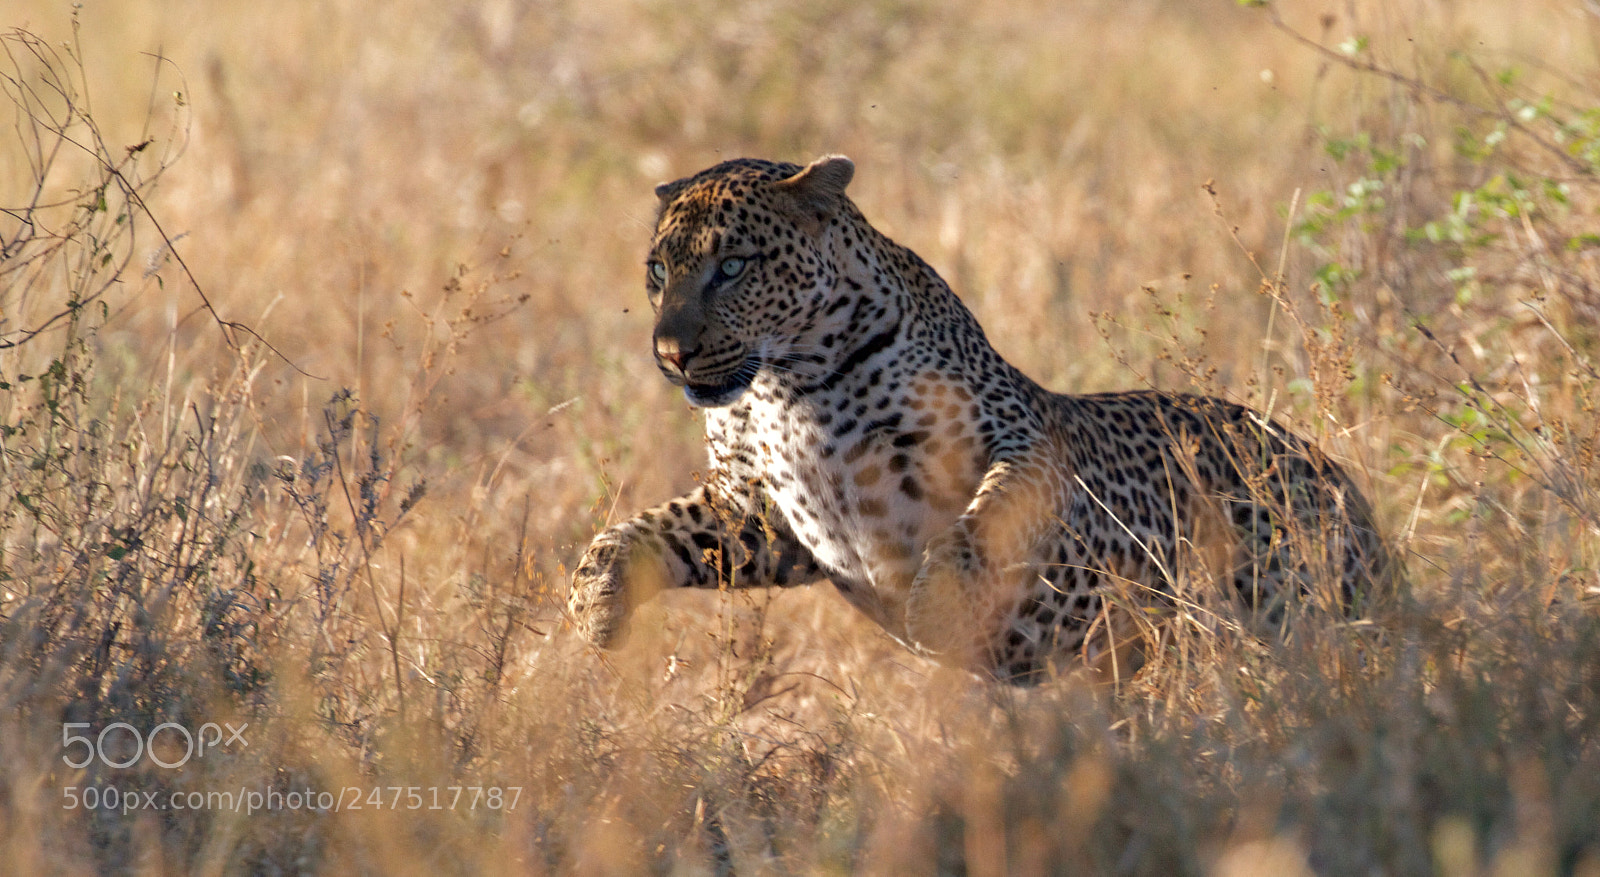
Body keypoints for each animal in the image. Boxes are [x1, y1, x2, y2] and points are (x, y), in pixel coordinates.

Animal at [567, 154, 1391, 683]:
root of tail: (1345, 487)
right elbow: (627, 535)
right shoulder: (756, 510)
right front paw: (591, 609)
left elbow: (980, 526)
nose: (670, 354)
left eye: (732, 266)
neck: (783, 386)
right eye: (658, 271)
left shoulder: (1018, 442)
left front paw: (940, 611)